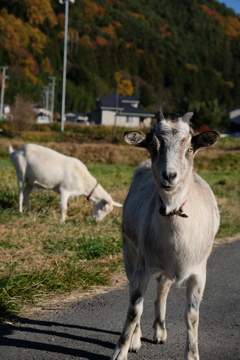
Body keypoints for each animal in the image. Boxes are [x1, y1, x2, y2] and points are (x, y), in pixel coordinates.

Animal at [110, 112, 219, 360]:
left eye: (190, 148)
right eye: (153, 147)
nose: (169, 176)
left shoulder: (199, 272)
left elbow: (192, 316)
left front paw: (192, 354)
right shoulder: (142, 266)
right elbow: (134, 309)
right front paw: (121, 350)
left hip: (166, 268)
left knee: (162, 289)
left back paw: (160, 330)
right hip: (130, 252)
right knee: (135, 291)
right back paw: (136, 339)